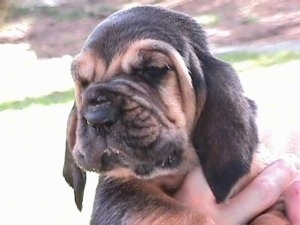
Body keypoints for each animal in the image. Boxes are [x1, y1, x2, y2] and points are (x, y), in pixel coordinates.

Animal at [62, 5, 298, 225]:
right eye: (84, 82)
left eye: (152, 70)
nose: (97, 117)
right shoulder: (119, 189)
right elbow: (173, 212)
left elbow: (272, 216)